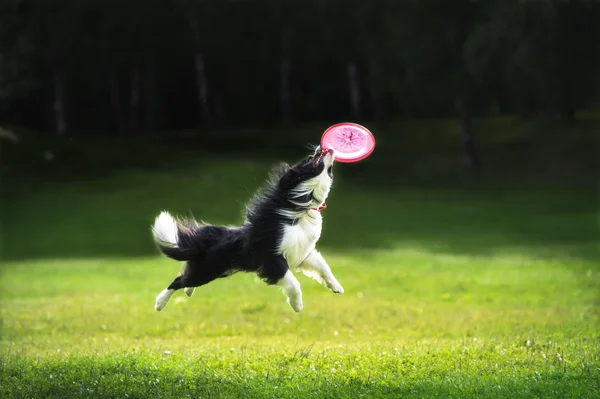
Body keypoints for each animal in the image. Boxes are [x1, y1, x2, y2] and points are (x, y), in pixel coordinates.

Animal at [152, 145, 344, 314]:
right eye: (310, 159)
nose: (321, 147)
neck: (300, 206)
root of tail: (211, 237)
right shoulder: (272, 258)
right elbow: (293, 283)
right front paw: (297, 305)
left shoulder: (302, 252)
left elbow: (323, 266)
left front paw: (337, 287)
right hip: (208, 269)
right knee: (179, 280)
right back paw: (160, 303)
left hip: (216, 270)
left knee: (186, 277)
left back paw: (187, 291)